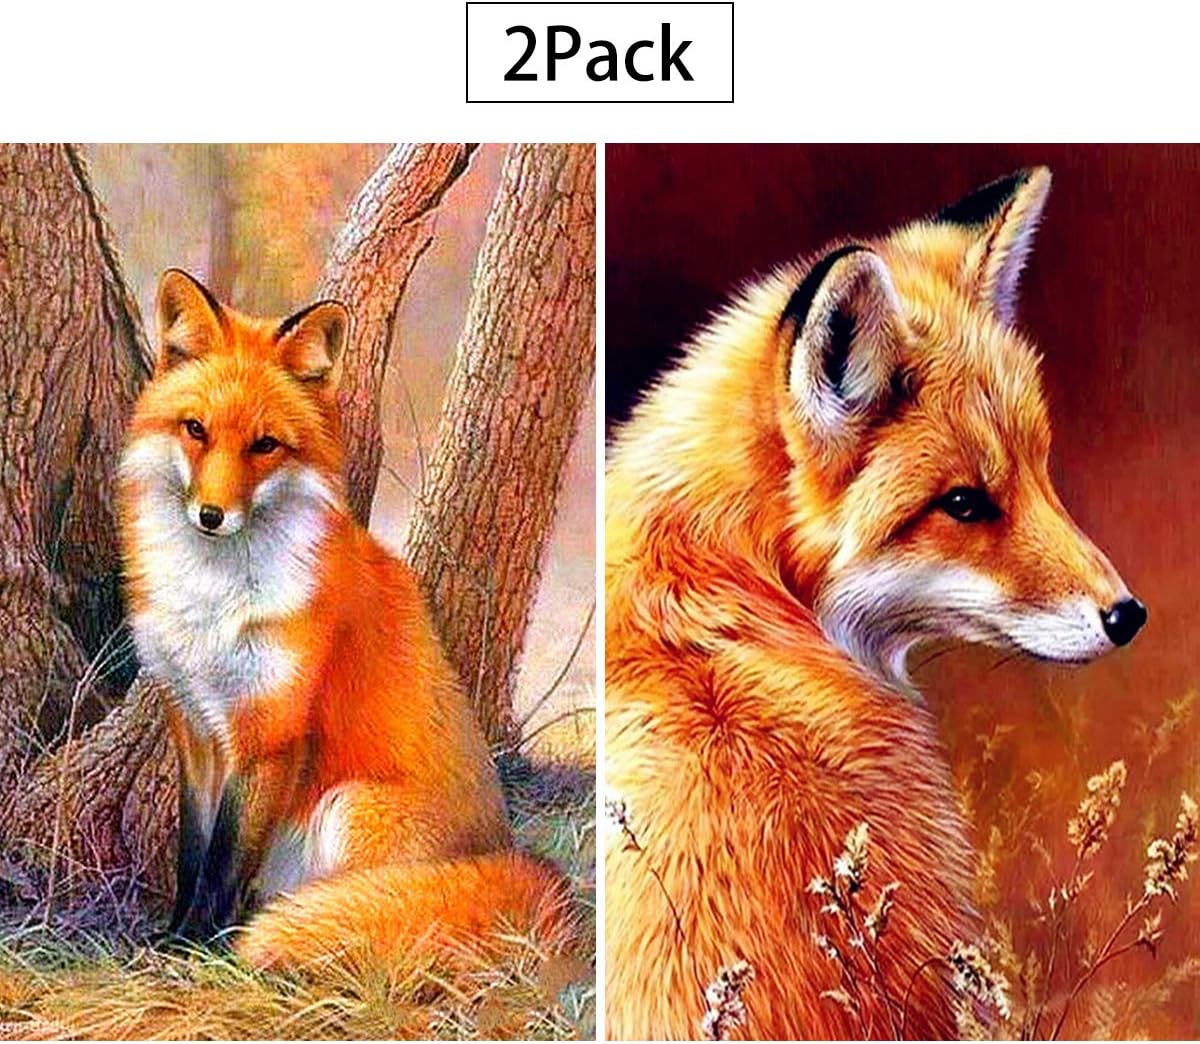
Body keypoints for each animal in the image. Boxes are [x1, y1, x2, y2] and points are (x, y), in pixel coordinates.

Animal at [117, 269, 571, 970]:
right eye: (195, 429)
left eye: (265, 446)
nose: (211, 516)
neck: (213, 601)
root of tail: (510, 854)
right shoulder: (192, 723)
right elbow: (194, 853)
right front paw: (172, 934)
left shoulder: (270, 734)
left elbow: (224, 862)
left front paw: (194, 950)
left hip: (347, 808)